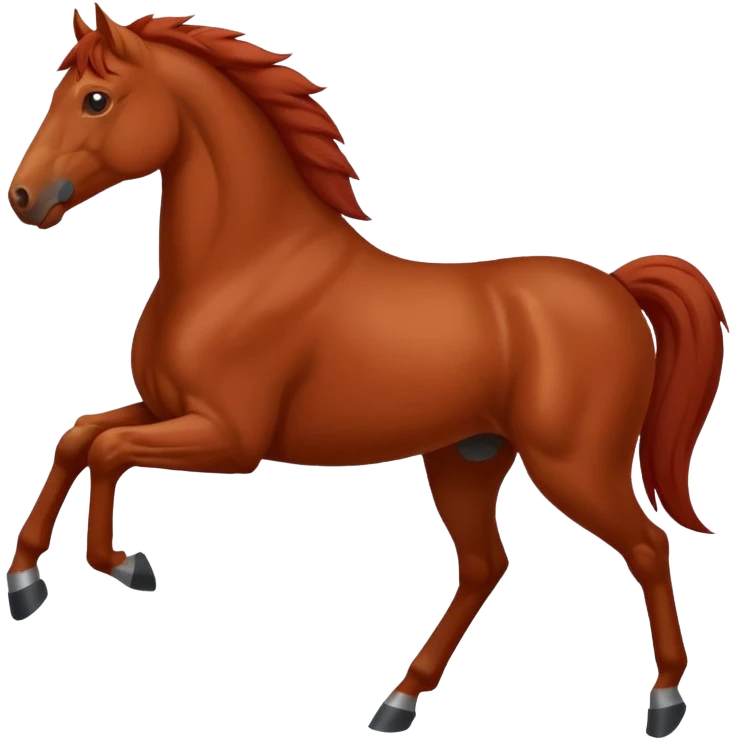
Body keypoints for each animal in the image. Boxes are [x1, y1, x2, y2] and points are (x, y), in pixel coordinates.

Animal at [5, 6, 728, 737]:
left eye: (96, 100)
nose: (24, 197)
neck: (241, 265)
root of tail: (616, 285)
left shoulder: (229, 440)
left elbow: (108, 451)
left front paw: (127, 565)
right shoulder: (165, 409)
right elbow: (79, 438)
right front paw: (28, 583)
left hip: (574, 465)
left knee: (647, 546)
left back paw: (665, 700)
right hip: (467, 457)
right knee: (484, 565)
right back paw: (398, 701)